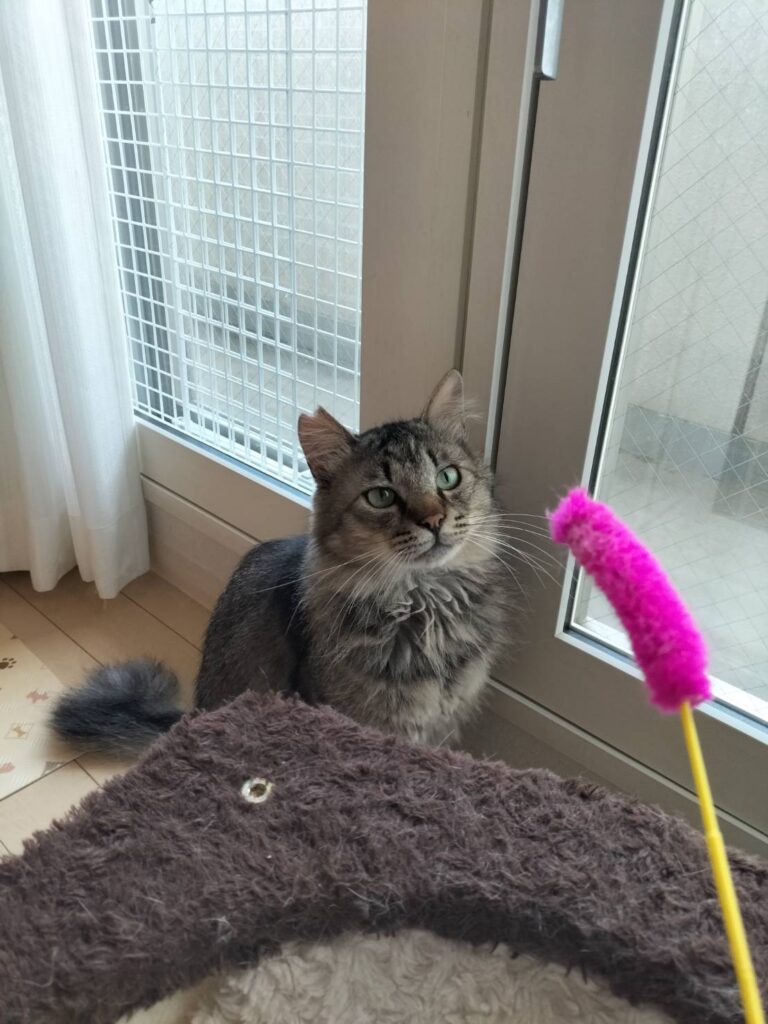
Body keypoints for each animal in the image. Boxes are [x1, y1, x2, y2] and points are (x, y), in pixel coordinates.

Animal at [51, 370, 514, 748]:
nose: (434, 521)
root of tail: (192, 715)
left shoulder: (442, 725)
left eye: (447, 477)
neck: (425, 608)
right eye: (381, 496)